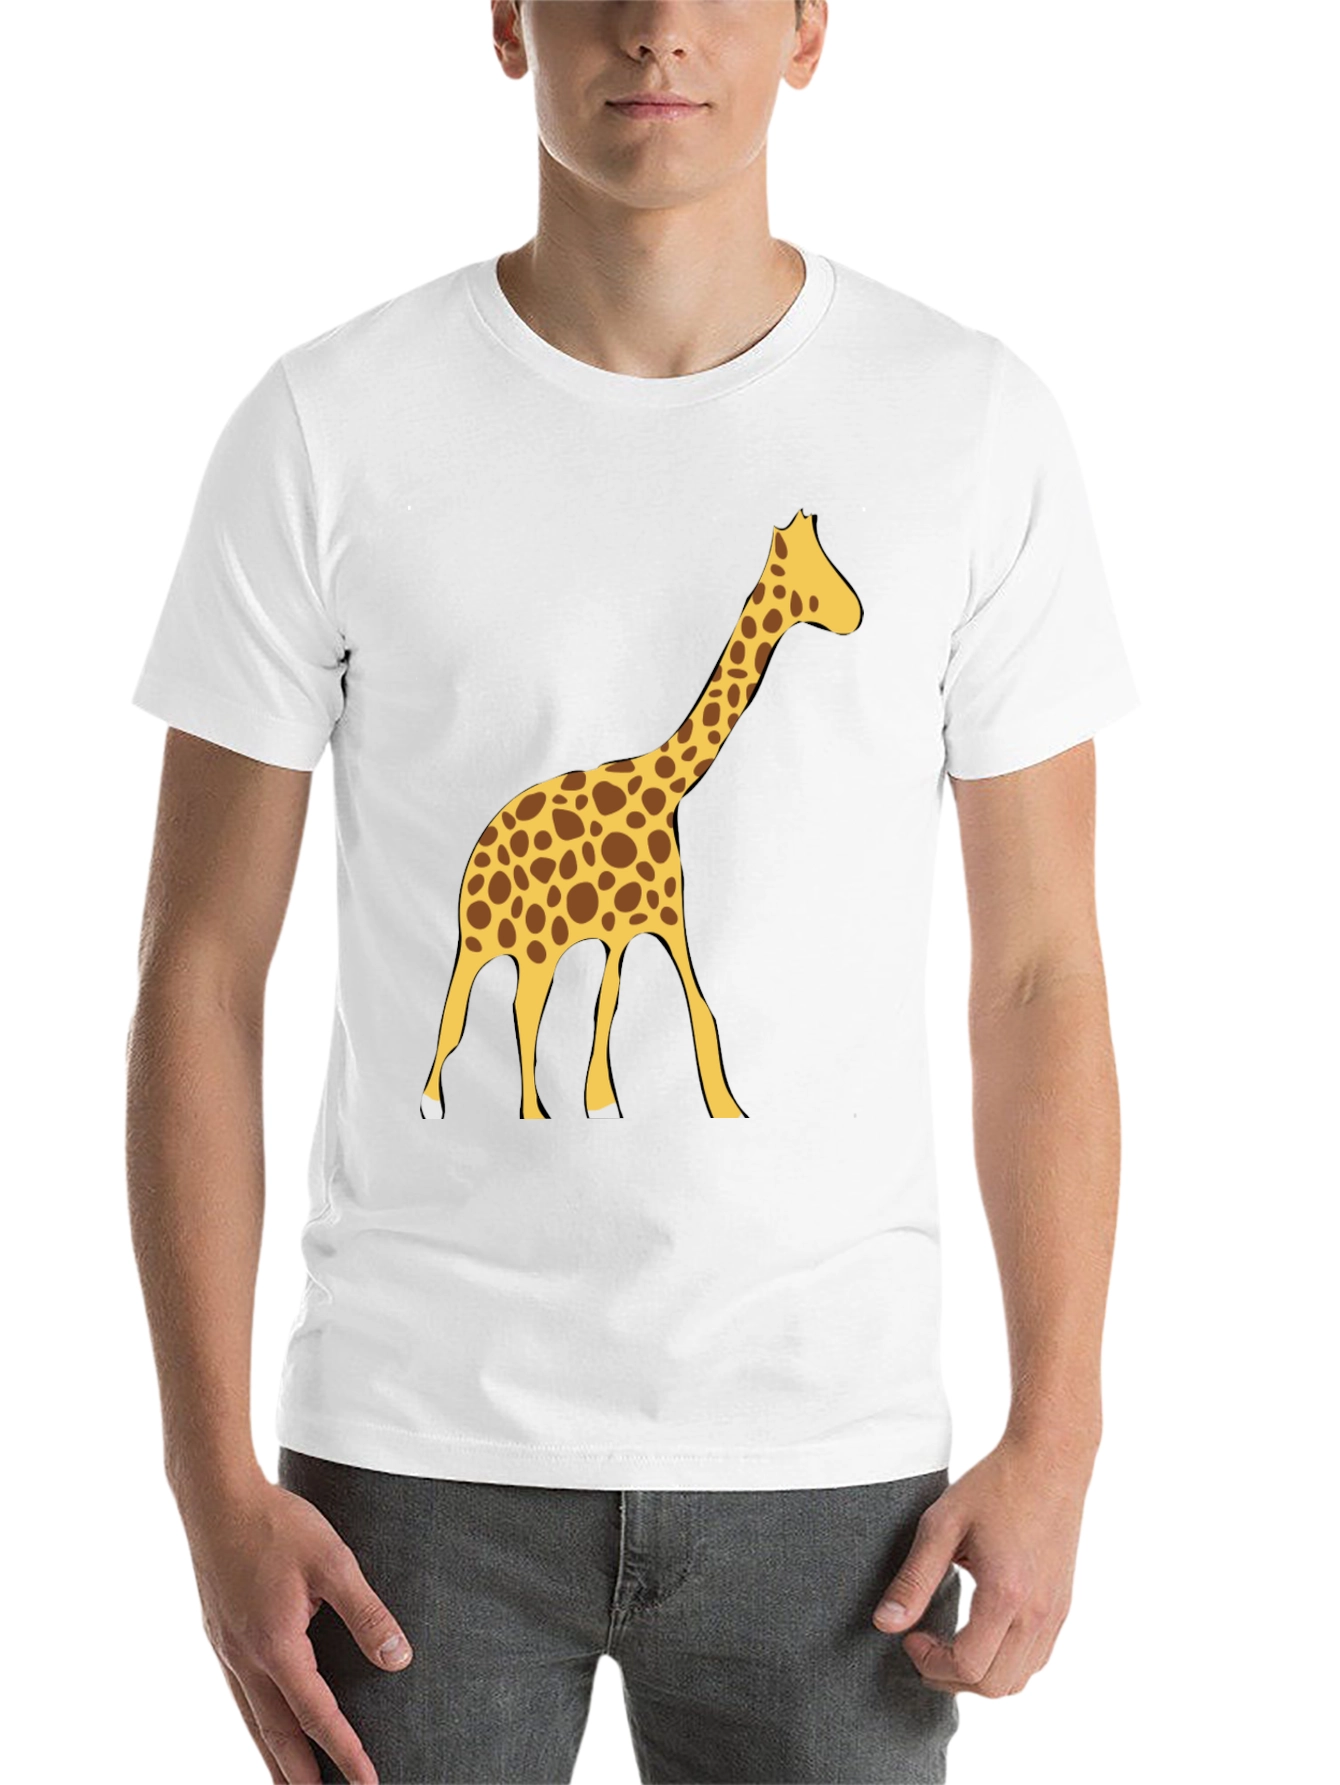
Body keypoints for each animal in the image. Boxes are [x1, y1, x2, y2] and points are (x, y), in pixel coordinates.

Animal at [420, 507, 864, 1121]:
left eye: (827, 560)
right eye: (808, 575)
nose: (857, 614)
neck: (666, 788)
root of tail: (475, 859)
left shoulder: (651, 923)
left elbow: (671, 1008)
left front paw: (690, 1104)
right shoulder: (622, 928)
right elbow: (620, 1009)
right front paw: (610, 1104)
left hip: (502, 945)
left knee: (472, 1010)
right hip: (522, 945)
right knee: (505, 1012)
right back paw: (499, 1110)